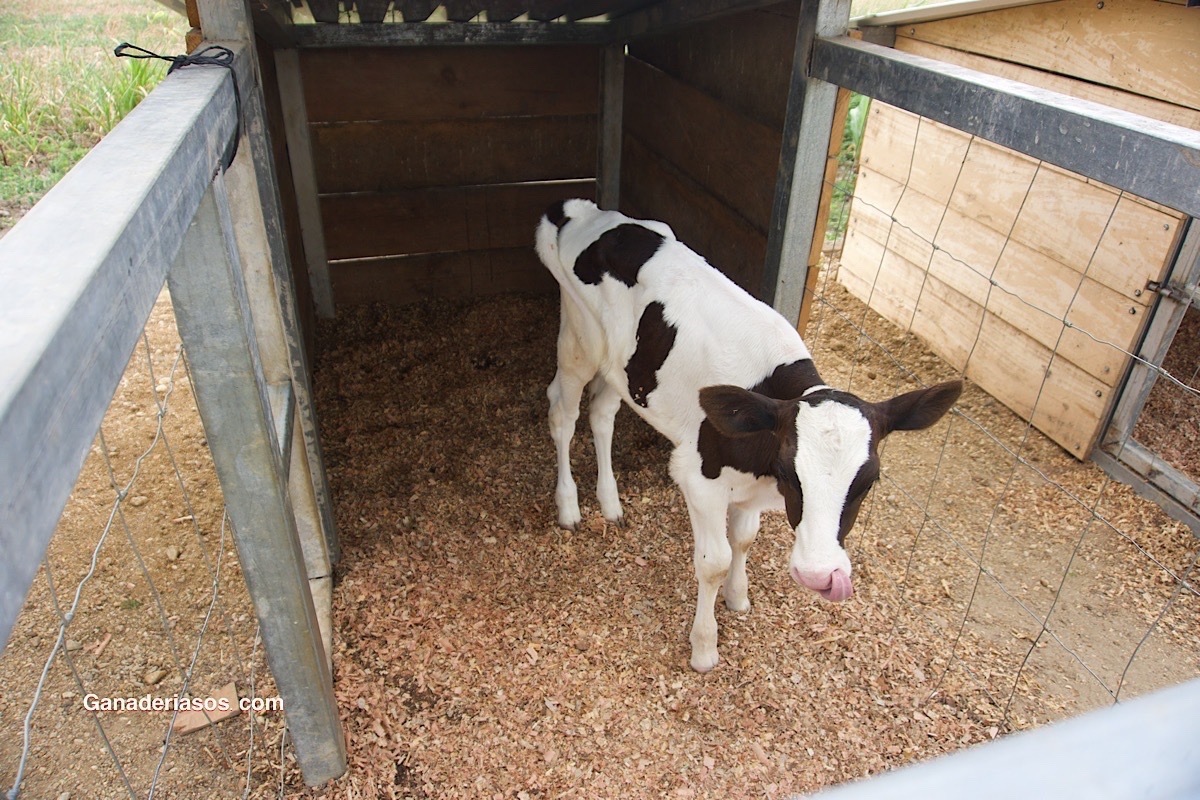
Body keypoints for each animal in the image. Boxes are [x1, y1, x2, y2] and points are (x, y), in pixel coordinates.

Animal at [540, 196, 960, 671]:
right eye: (792, 472)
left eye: (869, 482)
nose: (820, 575)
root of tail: (585, 211)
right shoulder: (698, 479)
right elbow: (715, 561)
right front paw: (704, 647)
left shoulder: (750, 487)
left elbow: (745, 538)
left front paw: (738, 598)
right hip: (578, 345)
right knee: (563, 415)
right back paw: (569, 506)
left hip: (625, 371)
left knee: (602, 415)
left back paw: (610, 503)